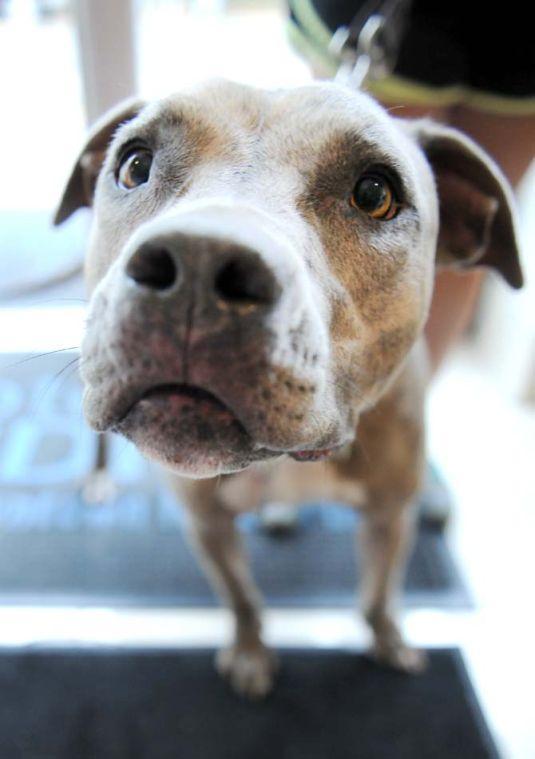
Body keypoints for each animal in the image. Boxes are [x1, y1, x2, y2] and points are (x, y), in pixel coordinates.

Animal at [54, 80, 524, 696]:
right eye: (135, 164)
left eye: (375, 193)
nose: (198, 265)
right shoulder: (207, 524)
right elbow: (241, 598)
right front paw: (251, 652)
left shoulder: (390, 514)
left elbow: (379, 593)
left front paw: (388, 641)